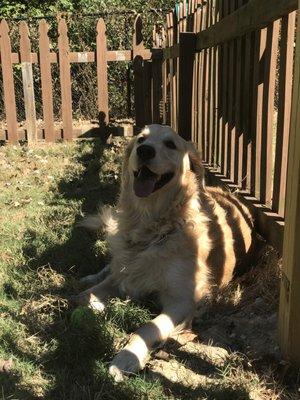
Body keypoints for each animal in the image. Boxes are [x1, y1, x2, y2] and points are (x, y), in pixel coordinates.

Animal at [74, 124, 253, 382]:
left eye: (170, 144)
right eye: (141, 139)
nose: (145, 151)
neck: (153, 226)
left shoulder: (182, 301)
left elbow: (148, 327)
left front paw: (126, 357)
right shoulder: (124, 274)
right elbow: (85, 296)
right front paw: (93, 301)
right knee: (112, 265)